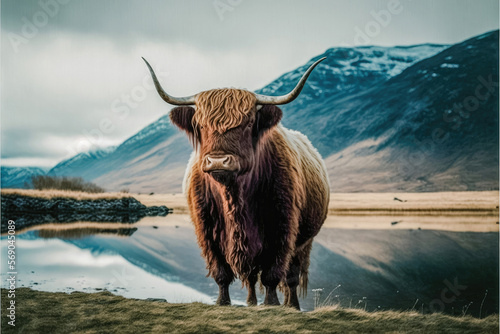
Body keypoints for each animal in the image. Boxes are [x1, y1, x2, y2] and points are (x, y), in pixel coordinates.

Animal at [143, 56, 330, 310]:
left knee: (291, 275)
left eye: (248, 123)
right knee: (250, 276)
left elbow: (272, 274)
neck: (234, 194)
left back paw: (291, 305)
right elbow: (221, 273)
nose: (218, 160)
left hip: (305, 241)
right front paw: (223, 302)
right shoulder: (207, 231)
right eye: (200, 124)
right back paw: (251, 302)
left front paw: (271, 304)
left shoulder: (282, 228)